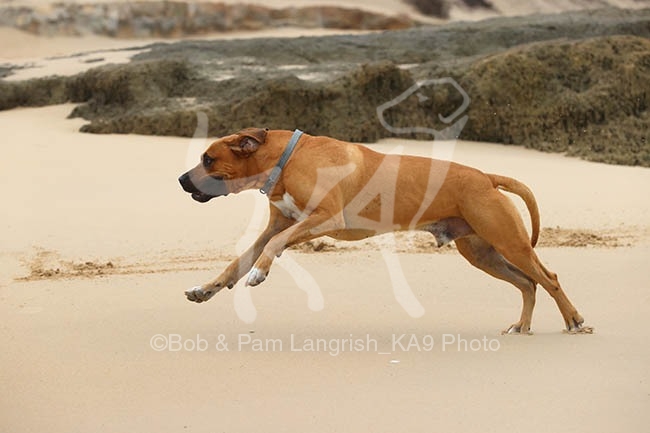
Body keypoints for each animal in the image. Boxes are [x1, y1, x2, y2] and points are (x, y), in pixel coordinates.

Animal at [179, 127, 592, 334]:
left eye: (208, 159)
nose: (181, 179)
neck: (287, 159)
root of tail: (486, 176)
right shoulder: (277, 225)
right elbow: (237, 261)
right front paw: (208, 288)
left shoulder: (325, 218)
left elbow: (274, 246)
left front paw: (261, 271)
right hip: (481, 253)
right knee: (527, 283)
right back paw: (523, 325)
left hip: (509, 242)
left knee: (548, 278)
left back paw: (573, 320)